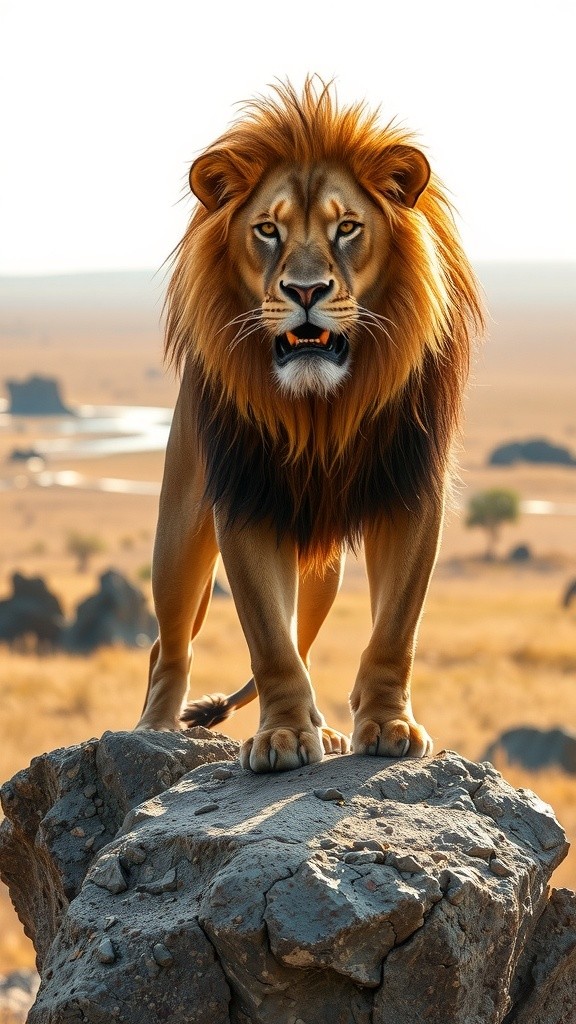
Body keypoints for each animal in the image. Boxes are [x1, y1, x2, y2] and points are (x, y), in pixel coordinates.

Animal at [136, 78, 483, 772]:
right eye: (267, 229)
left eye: (346, 227)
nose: (304, 291)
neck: (322, 410)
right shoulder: (246, 496)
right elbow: (269, 641)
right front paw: (282, 737)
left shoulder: (413, 490)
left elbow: (394, 630)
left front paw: (388, 724)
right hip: (178, 537)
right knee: (169, 647)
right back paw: (152, 733)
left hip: (322, 574)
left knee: (302, 630)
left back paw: (330, 732)